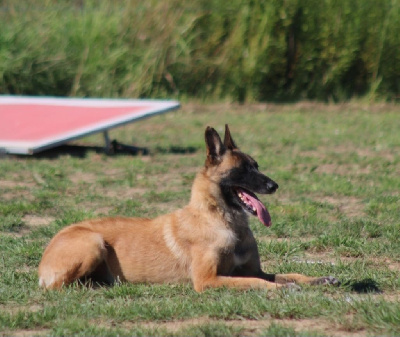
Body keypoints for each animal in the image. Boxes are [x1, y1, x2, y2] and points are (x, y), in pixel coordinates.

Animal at [38, 124, 338, 290]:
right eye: (242, 169)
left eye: (257, 165)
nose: (274, 185)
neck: (222, 221)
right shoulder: (209, 280)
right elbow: (258, 283)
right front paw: (282, 290)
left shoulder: (253, 269)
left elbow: (288, 275)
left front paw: (319, 279)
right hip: (95, 243)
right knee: (57, 287)